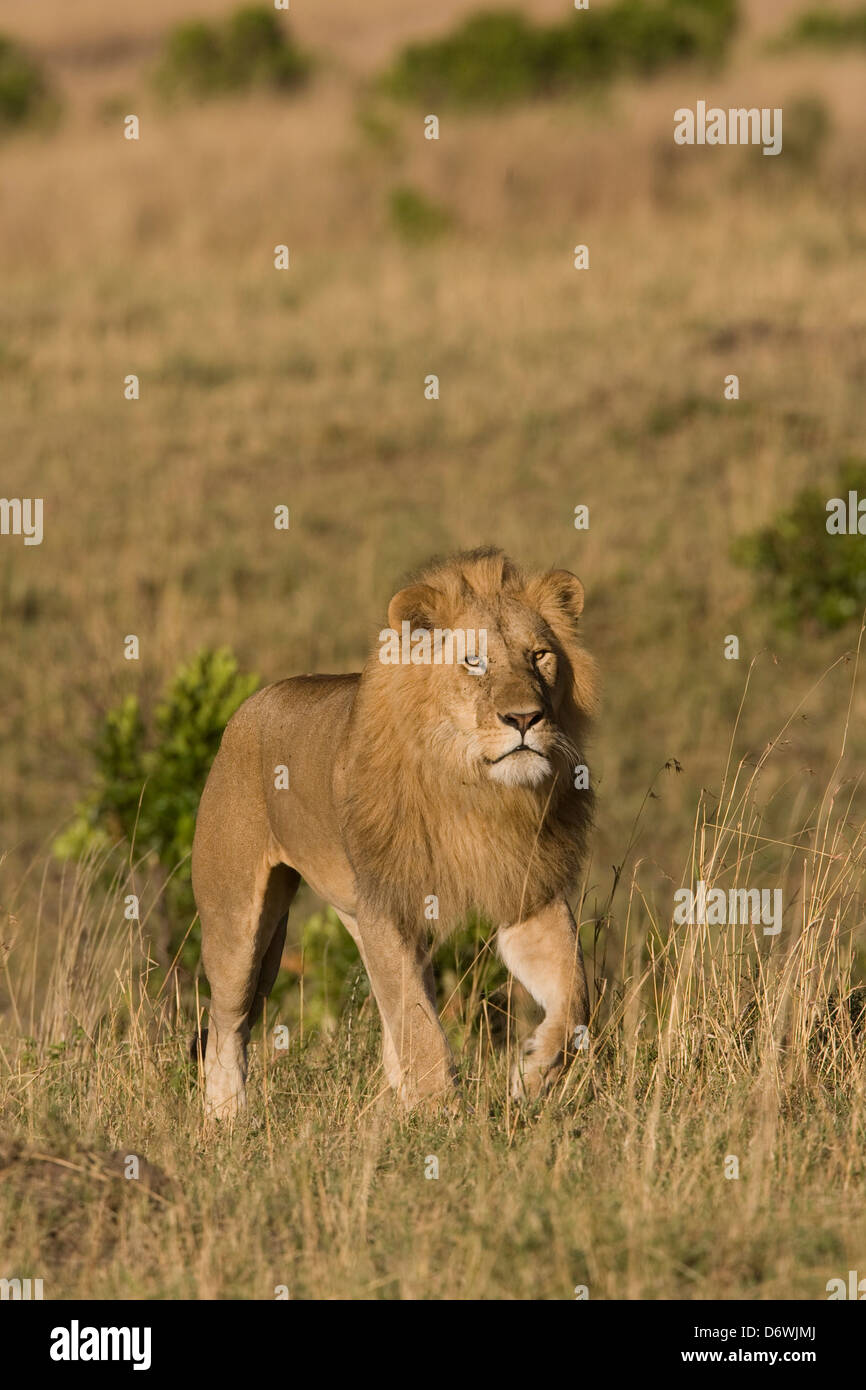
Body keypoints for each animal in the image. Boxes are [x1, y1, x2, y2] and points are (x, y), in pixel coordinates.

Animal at [191, 547, 598, 1118]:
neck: (472, 786)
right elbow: (419, 1028)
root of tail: (251, 704)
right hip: (236, 923)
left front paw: (533, 1074)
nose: (525, 718)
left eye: (539, 655)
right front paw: (441, 1114)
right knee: (227, 1024)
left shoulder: (527, 892)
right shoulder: (389, 904)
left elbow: (575, 996)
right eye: (474, 661)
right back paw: (226, 1118)